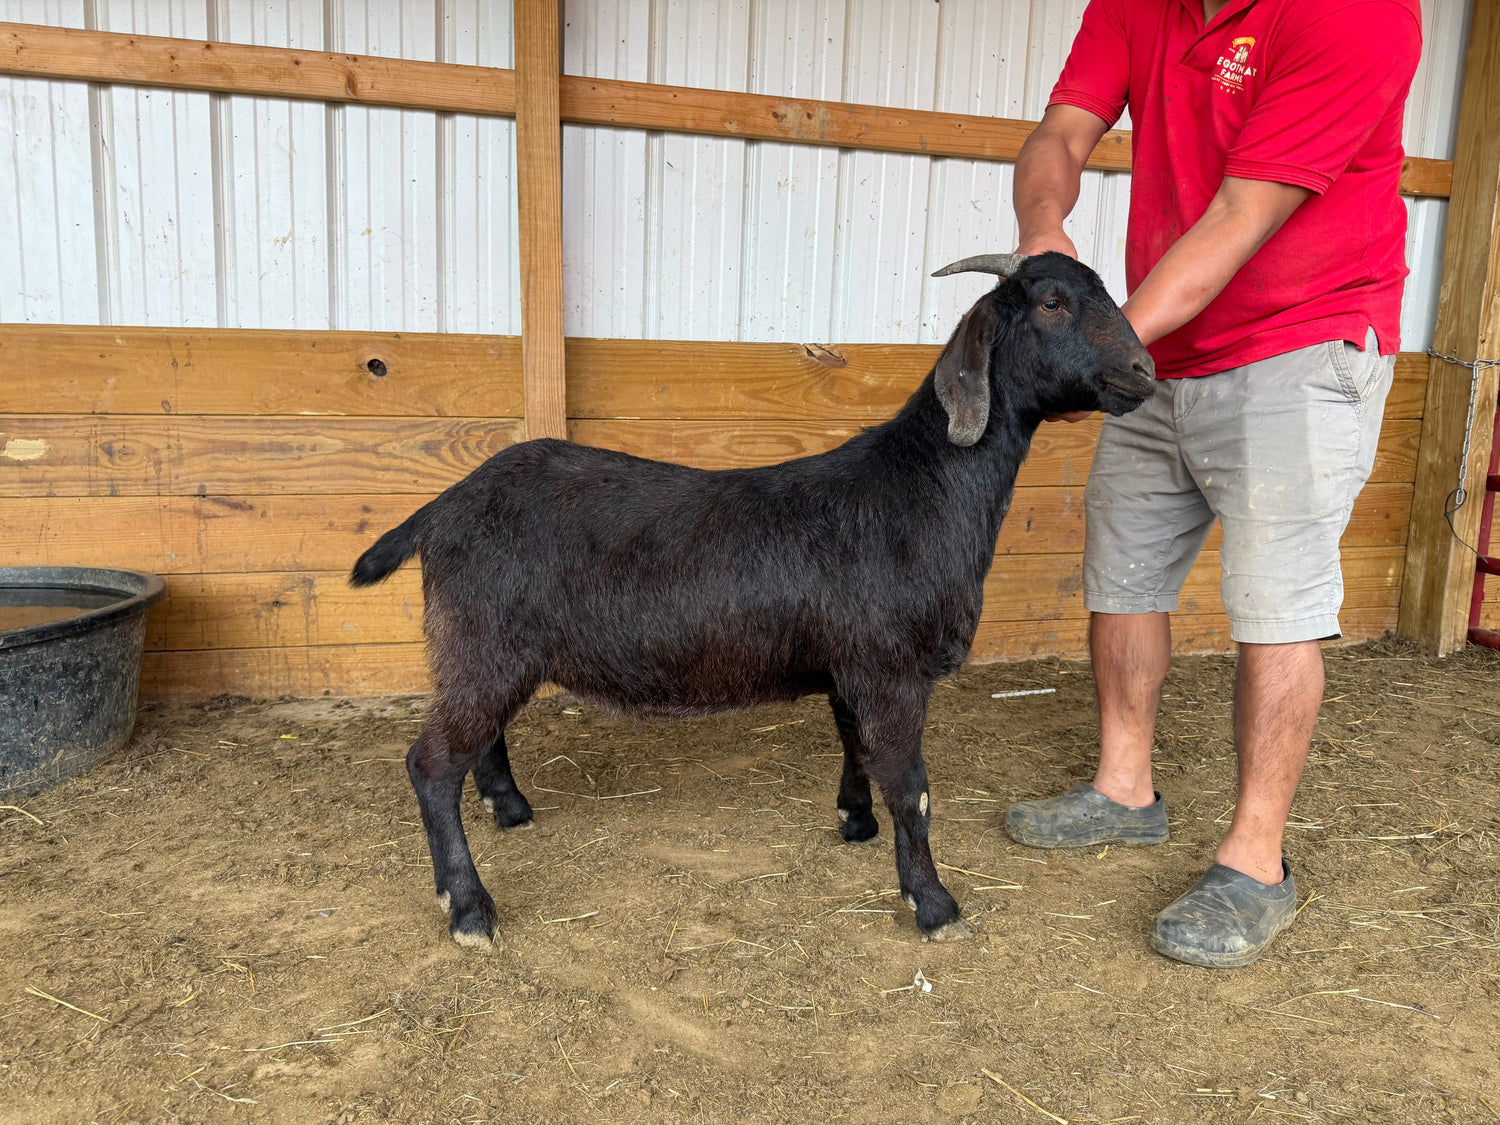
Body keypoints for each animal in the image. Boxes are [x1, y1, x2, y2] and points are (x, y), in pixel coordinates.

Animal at [351, 251, 1154, 949]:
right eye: (1051, 303)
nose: (1144, 371)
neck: (921, 487)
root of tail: (445, 505)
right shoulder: (892, 669)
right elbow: (912, 786)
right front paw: (933, 904)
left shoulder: (851, 666)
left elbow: (856, 748)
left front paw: (854, 820)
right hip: (481, 642)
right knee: (431, 764)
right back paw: (468, 908)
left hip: (487, 652)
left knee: (478, 738)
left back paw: (509, 808)